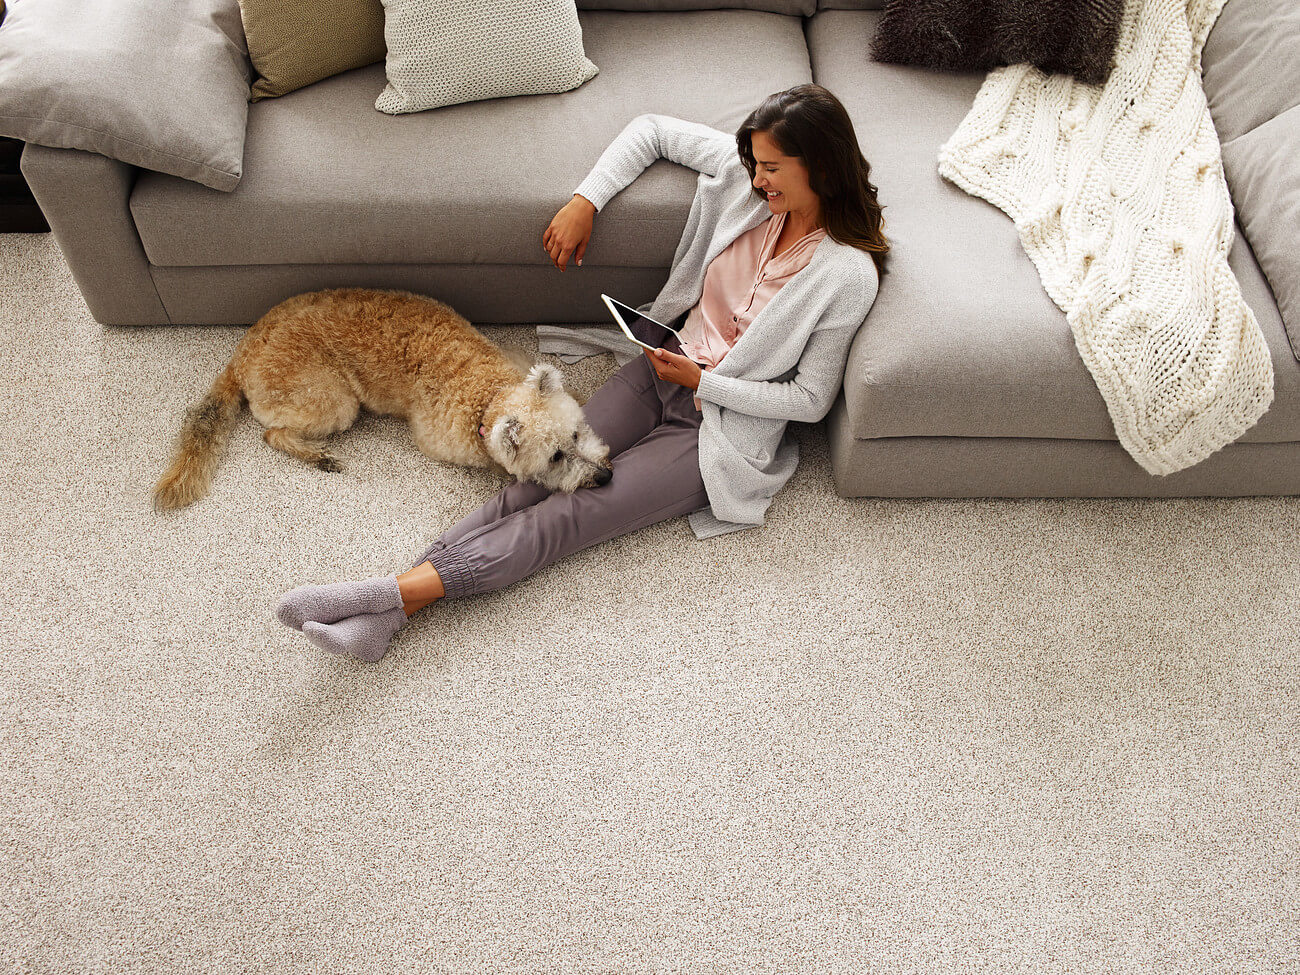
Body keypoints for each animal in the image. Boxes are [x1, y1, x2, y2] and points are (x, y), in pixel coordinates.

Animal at [153, 286, 613, 512]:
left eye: (576, 434)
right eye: (555, 457)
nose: (606, 476)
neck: (488, 395)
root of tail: (244, 353)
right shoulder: (437, 441)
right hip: (334, 402)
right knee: (272, 434)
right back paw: (318, 456)